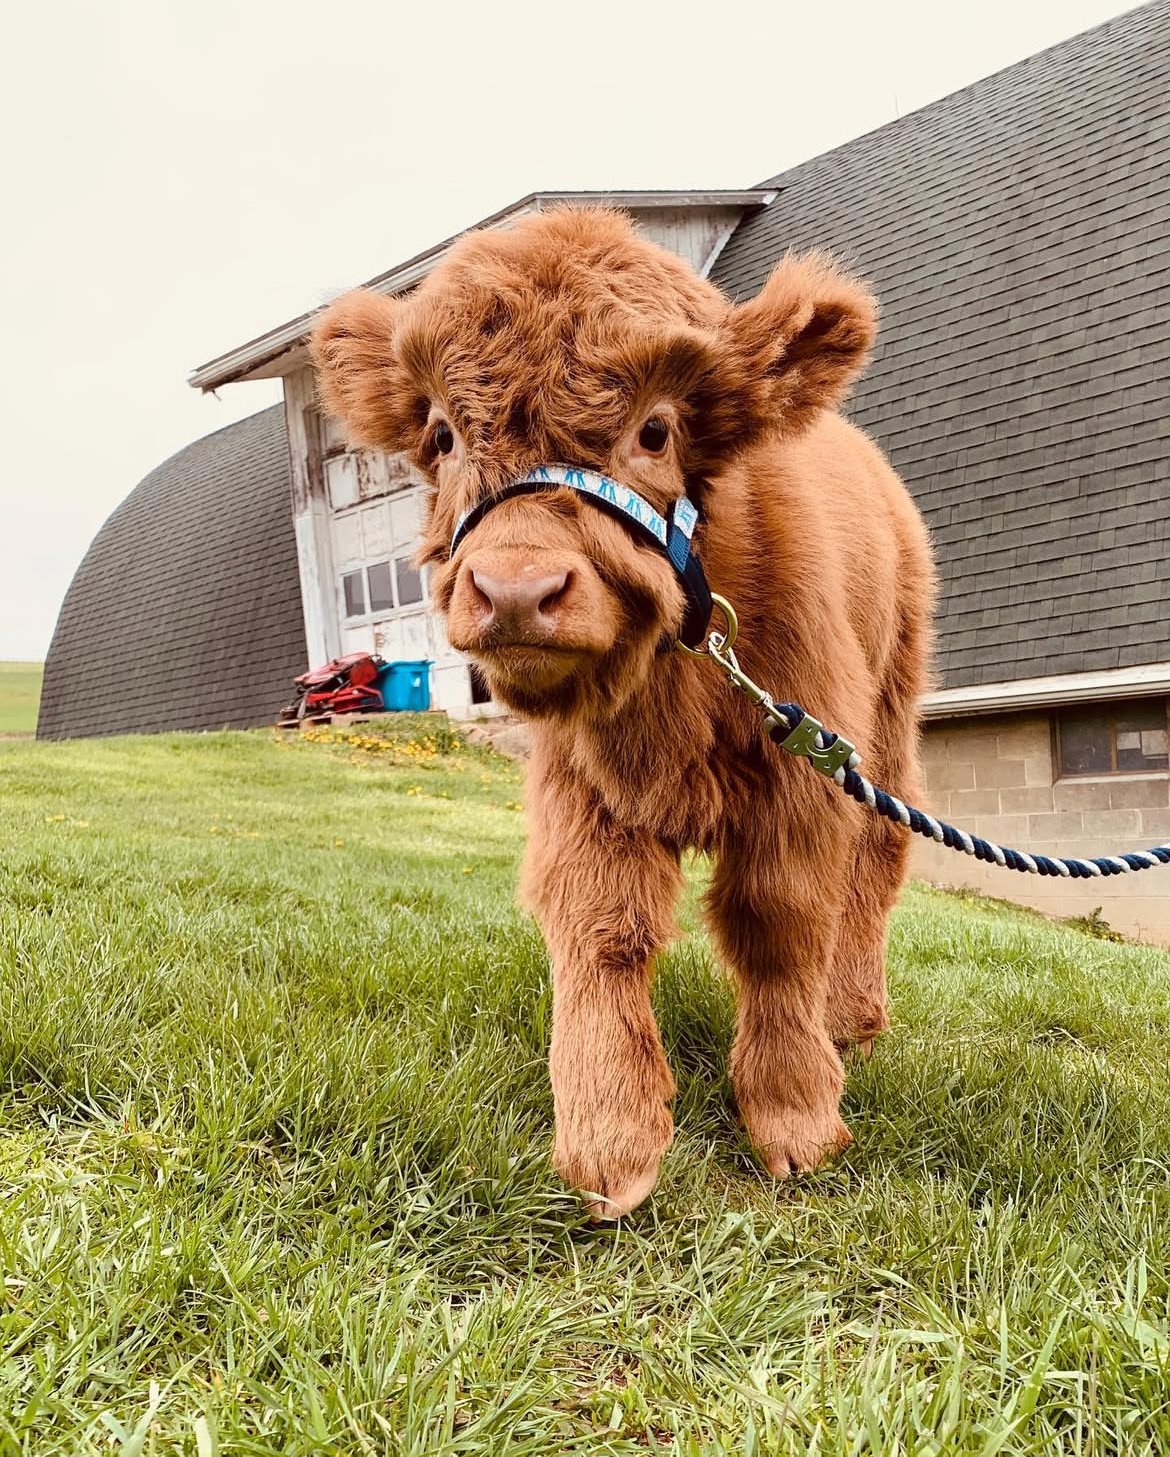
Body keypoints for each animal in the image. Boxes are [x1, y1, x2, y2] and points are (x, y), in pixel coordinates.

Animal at [312, 207, 935, 1219]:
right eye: (442, 434)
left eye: (656, 430)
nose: (516, 590)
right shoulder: (580, 779)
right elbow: (600, 924)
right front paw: (611, 1138)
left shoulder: (800, 772)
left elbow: (779, 920)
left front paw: (795, 1114)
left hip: (887, 714)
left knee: (877, 861)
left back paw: (852, 1017)